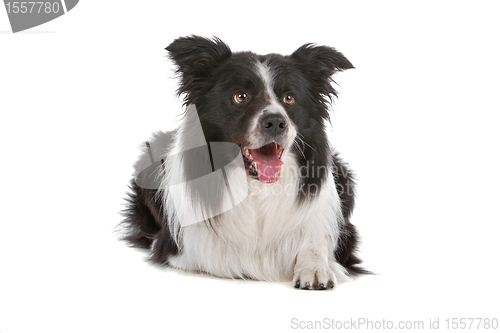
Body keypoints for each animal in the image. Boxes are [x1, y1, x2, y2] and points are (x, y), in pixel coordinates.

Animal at [121, 34, 368, 288]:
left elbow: (317, 242)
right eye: (241, 96)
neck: (256, 187)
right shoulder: (182, 247)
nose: (276, 122)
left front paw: (316, 268)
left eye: (289, 98)